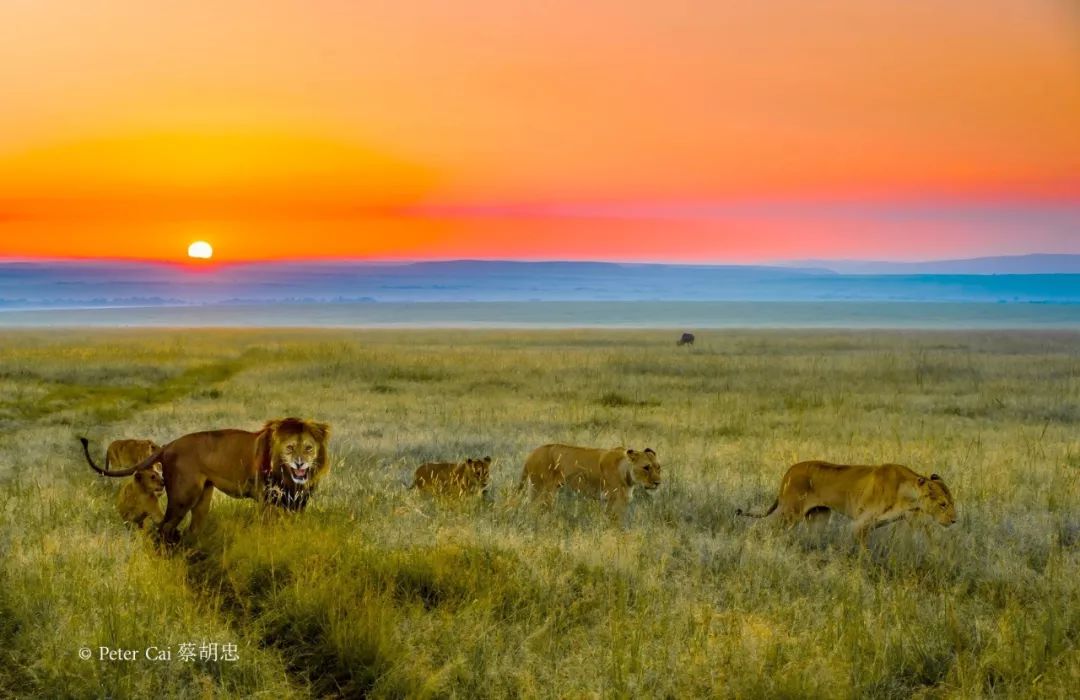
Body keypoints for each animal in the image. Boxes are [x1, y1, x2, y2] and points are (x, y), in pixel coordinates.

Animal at [80, 419, 328, 544]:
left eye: (309, 448)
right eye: (289, 447)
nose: (300, 464)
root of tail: (168, 445)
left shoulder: (299, 504)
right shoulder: (267, 500)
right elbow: (270, 529)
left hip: (202, 498)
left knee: (191, 530)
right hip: (183, 496)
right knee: (164, 528)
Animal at [520, 442, 660, 518]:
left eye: (658, 467)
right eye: (646, 467)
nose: (657, 483)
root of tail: (531, 455)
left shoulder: (609, 500)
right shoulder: (617, 500)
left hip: (537, 489)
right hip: (543, 490)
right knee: (534, 509)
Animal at [738, 462, 959, 544]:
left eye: (952, 503)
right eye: (943, 504)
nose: (954, 520)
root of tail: (790, 469)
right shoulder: (860, 524)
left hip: (819, 516)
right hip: (790, 513)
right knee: (766, 528)